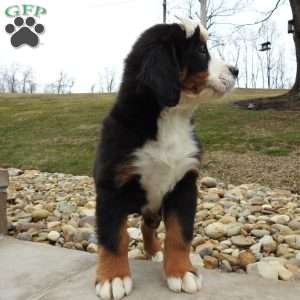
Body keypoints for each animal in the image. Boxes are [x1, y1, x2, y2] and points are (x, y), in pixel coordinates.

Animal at [93, 18, 237, 300]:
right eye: (201, 51)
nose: (235, 70)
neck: (172, 119)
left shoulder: (184, 184)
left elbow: (179, 235)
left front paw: (181, 272)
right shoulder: (111, 187)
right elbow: (114, 236)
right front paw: (113, 277)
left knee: (148, 226)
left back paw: (155, 252)